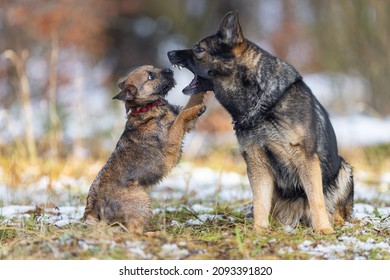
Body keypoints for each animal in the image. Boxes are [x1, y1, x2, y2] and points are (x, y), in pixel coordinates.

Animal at [83, 65, 206, 234]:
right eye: (150, 77)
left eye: (154, 69)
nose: (169, 69)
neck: (146, 108)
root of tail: (91, 209)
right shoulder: (172, 137)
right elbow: (182, 115)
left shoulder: (186, 126)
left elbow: (189, 105)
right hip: (141, 199)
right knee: (134, 231)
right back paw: (154, 233)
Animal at [168, 11, 354, 234]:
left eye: (199, 49)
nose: (169, 52)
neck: (263, 104)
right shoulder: (257, 163)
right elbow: (260, 203)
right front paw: (259, 231)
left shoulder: (307, 160)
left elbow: (316, 199)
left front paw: (323, 230)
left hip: (344, 170)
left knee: (335, 209)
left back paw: (333, 222)